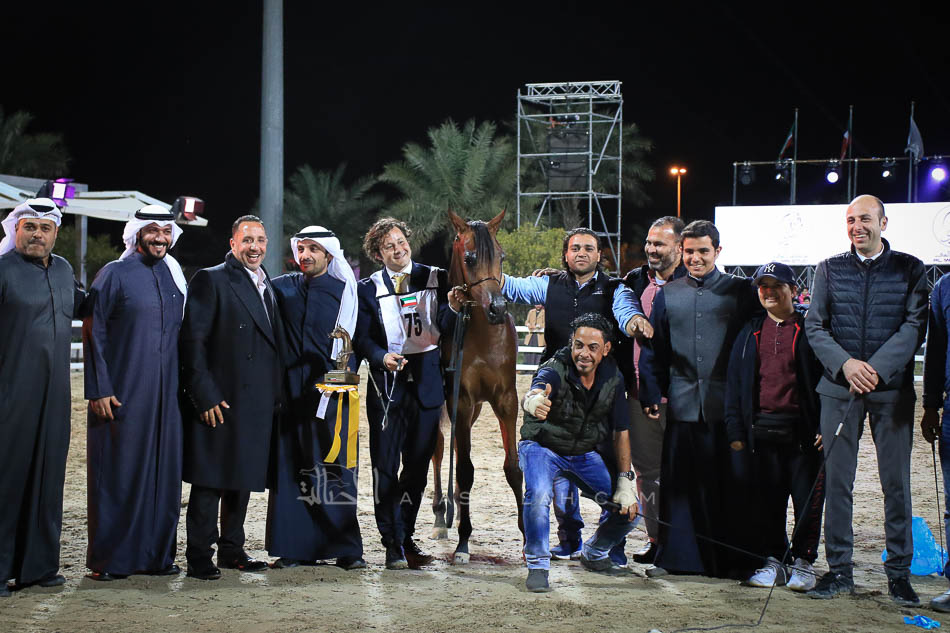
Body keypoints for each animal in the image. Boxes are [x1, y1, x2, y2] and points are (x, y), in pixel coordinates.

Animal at [430, 209, 524, 564]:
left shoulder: (505, 401)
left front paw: (529, 540)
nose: (498, 309)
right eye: (470, 257)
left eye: (502, 256)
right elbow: (466, 469)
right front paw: (463, 542)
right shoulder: (461, 400)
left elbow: (513, 468)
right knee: (440, 449)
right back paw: (441, 516)